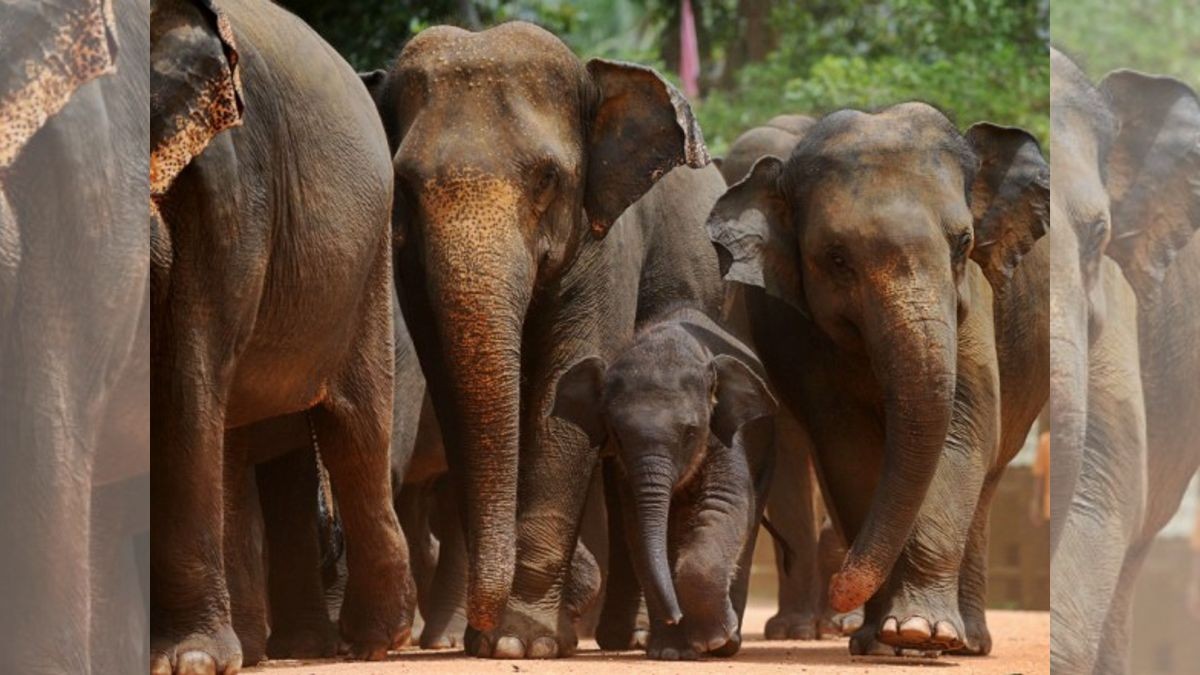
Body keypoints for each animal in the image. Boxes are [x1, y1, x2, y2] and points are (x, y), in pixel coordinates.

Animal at [150, 0, 413, 671]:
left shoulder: (232, 181)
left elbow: (185, 373)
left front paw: (189, 662)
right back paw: (259, 649)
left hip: (366, 269)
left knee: (355, 432)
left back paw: (372, 641)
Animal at [361, 21, 717, 658]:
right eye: (404, 183)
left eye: (547, 178)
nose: (483, 627)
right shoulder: (412, 275)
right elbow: (454, 392)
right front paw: (496, 640)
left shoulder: (603, 242)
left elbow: (568, 383)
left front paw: (519, 642)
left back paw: (631, 636)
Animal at [552, 309, 777, 660]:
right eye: (616, 434)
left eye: (690, 432)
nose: (676, 616)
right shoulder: (626, 470)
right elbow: (638, 531)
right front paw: (671, 652)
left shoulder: (724, 436)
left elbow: (724, 504)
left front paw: (712, 640)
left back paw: (728, 644)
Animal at [708, 103, 1049, 656]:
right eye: (836, 258)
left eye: (963, 244)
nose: (842, 587)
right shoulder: (796, 327)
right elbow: (846, 448)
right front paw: (885, 638)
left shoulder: (970, 303)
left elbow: (963, 425)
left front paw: (922, 632)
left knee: (988, 478)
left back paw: (970, 641)